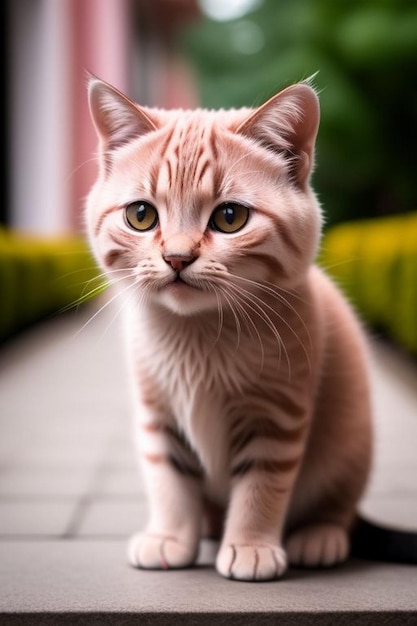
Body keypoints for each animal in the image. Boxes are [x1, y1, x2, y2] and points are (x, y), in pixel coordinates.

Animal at [84, 75, 416, 576]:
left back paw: (319, 536)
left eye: (230, 217)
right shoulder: (157, 414)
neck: (197, 334)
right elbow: (169, 481)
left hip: (350, 444)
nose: (176, 257)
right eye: (141, 215)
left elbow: (262, 487)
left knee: (338, 506)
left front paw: (251, 546)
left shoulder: (277, 416)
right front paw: (169, 537)